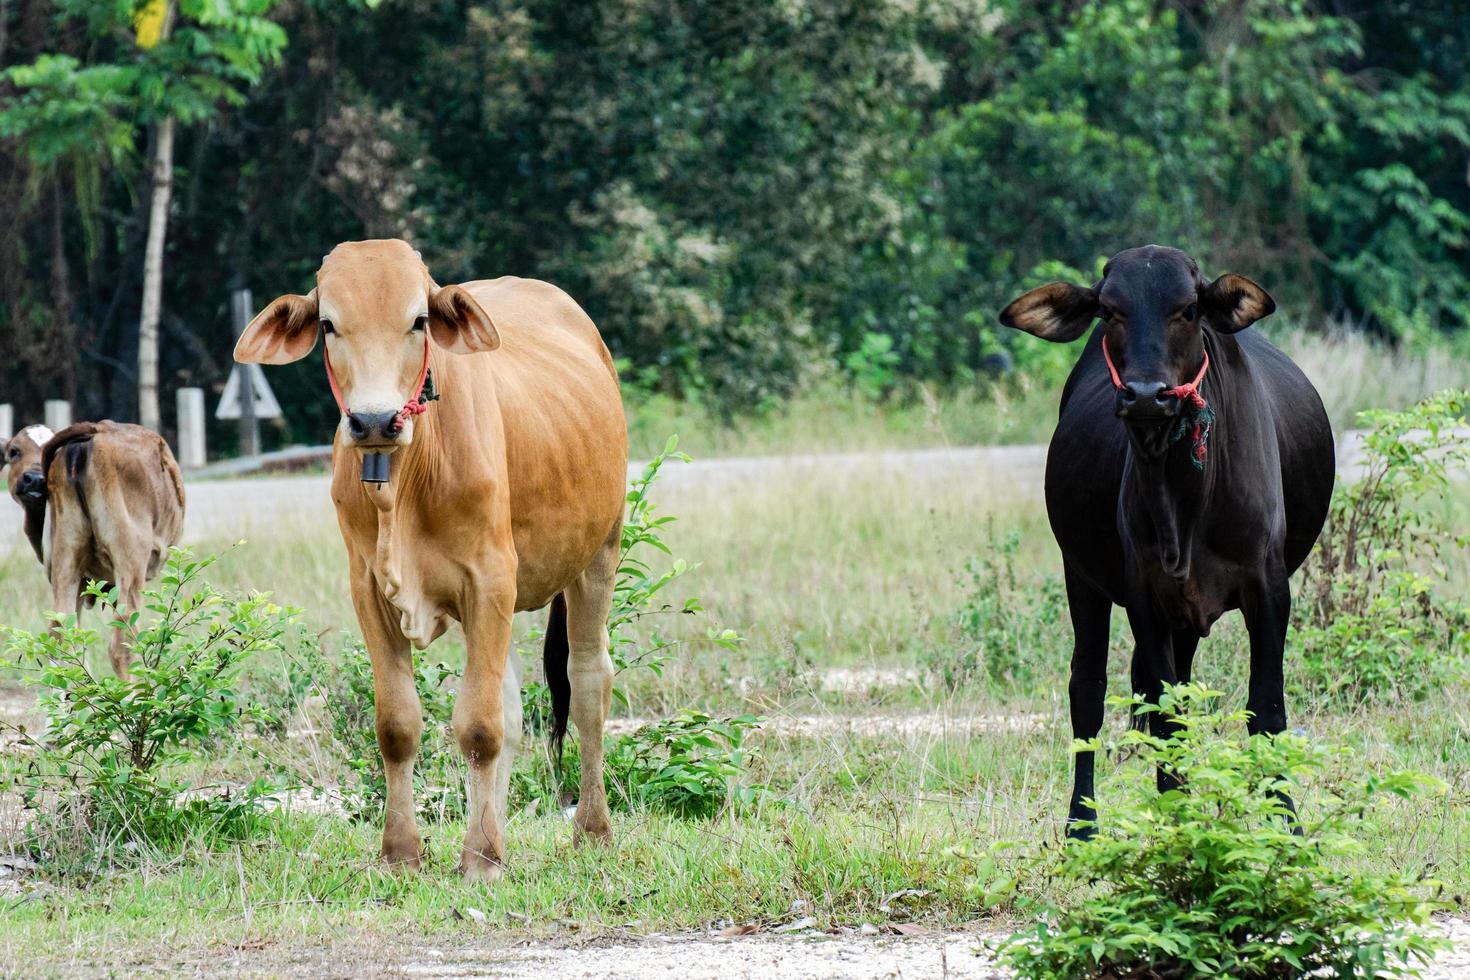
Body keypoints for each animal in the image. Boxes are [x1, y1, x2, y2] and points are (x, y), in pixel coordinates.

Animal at [2, 417, 186, 678]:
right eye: (14, 451)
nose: (35, 478)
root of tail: (97, 429)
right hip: (130, 559)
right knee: (122, 641)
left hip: (67, 554)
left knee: (60, 631)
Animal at [233, 239, 626, 881]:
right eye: (328, 324)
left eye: (418, 319)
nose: (373, 420)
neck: (406, 479)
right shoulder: (369, 590)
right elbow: (399, 725)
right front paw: (404, 853)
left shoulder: (490, 579)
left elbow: (480, 727)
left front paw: (480, 860)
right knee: (512, 707)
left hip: (599, 554)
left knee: (588, 682)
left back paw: (591, 830)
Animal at [1005, 245, 1340, 834]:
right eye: (1108, 310)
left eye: (1188, 309)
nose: (1146, 396)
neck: (1182, 501)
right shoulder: (1146, 599)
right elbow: (1163, 717)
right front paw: (1176, 817)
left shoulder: (1269, 590)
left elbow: (1266, 710)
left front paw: (1288, 827)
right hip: (1081, 577)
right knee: (1088, 692)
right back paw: (1082, 825)